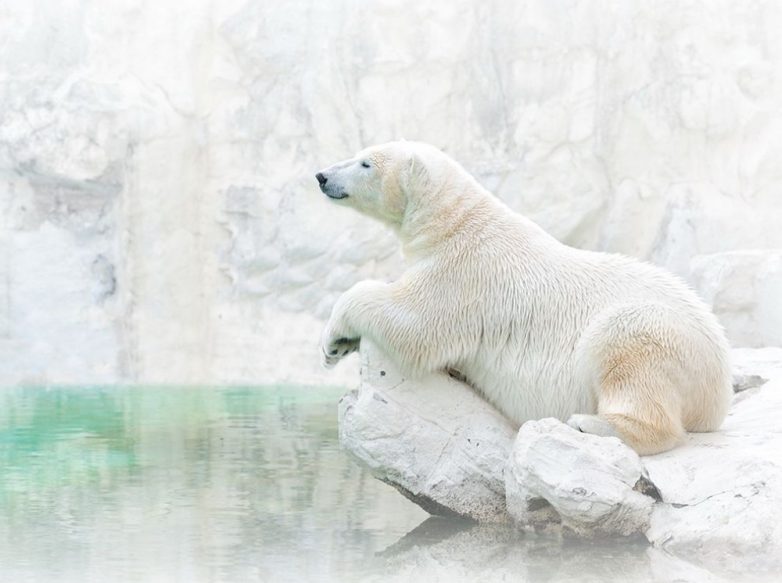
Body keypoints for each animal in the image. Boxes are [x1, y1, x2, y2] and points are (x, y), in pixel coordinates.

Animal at [314, 141, 736, 456]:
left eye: (365, 162)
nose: (322, 175)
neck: (455, 223)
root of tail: (718, 393)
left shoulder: (465, 275)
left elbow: (416, 324)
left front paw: (333, 335)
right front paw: (338, 347)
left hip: (659, 334)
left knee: (628, 353)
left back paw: (591, 423)